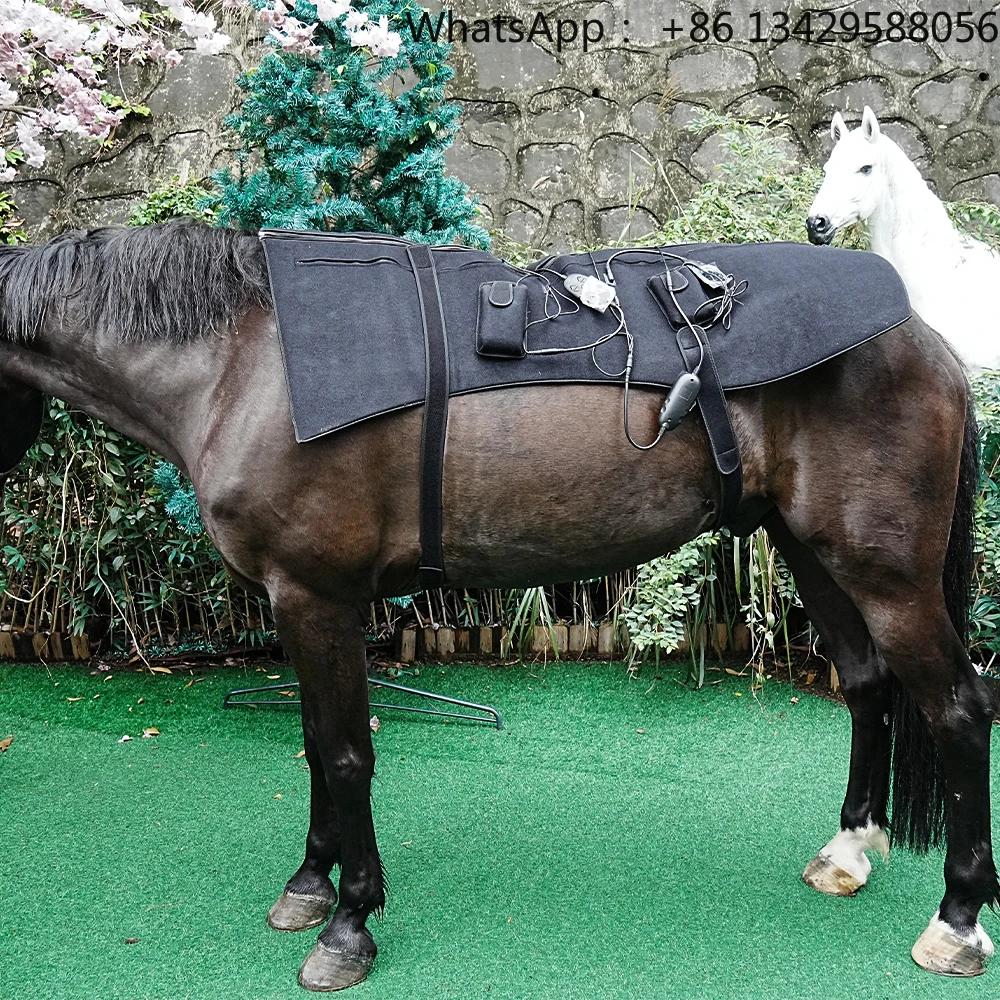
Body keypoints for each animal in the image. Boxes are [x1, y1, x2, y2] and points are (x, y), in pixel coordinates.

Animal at [0, 221, 996, 990]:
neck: (246, 363)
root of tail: (926, 339)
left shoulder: (317, 597)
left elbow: (347, 755)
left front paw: (349, 924)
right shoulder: (296, 604)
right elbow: (315, 745)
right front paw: (309, 885)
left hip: (887, 574)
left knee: (957, 707)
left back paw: (957, 920)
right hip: (809, 549)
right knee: (865, 683)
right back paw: (847, 851)